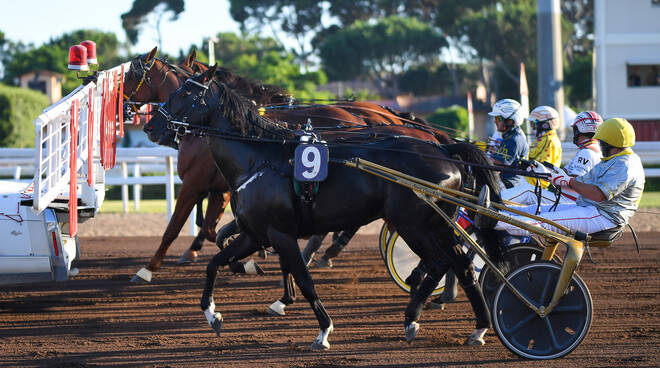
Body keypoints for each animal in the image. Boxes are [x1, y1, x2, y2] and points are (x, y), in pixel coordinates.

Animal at [147, 64, 502, 350]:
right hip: (437, 223)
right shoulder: (255, 234)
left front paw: (323, 331)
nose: (152, 125)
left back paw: (412, 317)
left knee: (439, 261)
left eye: (185, 91)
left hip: (412, 223)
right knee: (461, 263)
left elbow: (304, 280)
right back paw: (479, 327)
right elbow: (214, 264)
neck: (260, 157)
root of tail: (443, 148)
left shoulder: (280, 234)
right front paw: (213, 314)